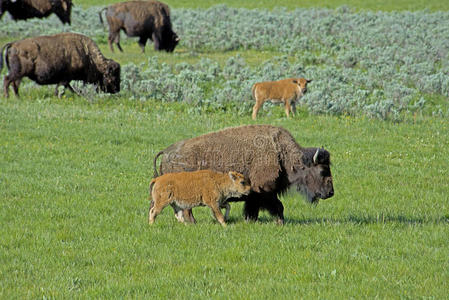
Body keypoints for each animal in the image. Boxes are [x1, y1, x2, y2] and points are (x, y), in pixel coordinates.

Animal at [152, 123, 334, 224]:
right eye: (323, 171)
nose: (330, 192)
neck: (281, 153)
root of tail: (167, 152)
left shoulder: (257, 194)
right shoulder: (264, 191)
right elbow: (277, 206)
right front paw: (279, 222)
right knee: (187, 209)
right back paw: (193, 223)